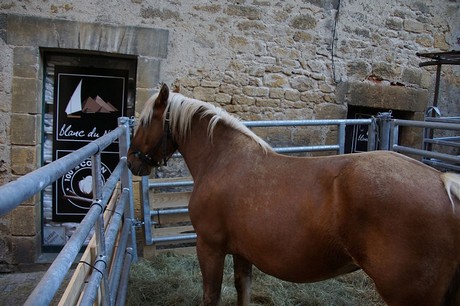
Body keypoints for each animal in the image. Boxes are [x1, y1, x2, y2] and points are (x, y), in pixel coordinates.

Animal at [127, 83, 460, 306]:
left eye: (144, 122)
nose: (131, 161)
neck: (223, 159)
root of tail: (442, 184)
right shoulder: (242, 252)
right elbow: (243, 290)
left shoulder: (210, 247)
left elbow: (212, 295)